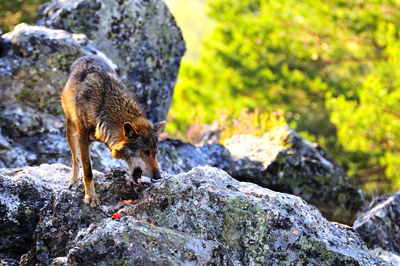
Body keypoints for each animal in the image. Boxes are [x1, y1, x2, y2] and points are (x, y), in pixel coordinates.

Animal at [60, 55, 166, 207]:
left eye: (155, 153)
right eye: (145, 152)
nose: (158, 176)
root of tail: (85, 56)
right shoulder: (83, 139)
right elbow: (88, 171)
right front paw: (91, 197)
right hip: (71, 127)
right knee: (75, 158)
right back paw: (73, 182)